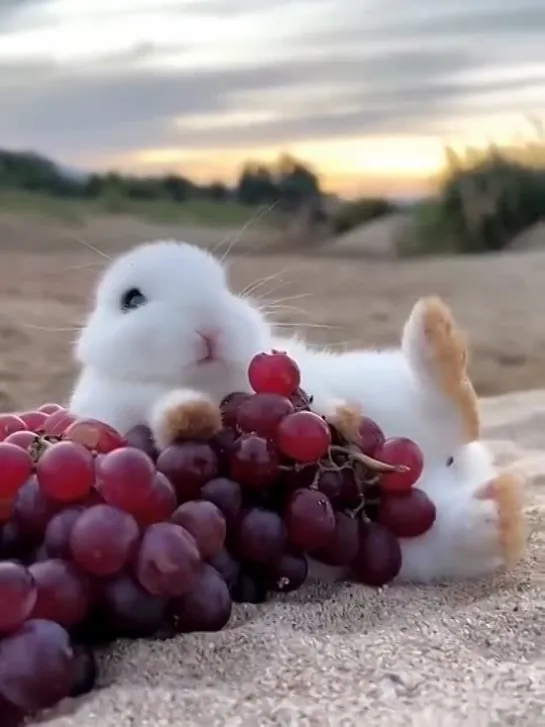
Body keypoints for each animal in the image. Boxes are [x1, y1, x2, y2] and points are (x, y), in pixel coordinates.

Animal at [67, 242, 524, 584]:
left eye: (225, 286)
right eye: (132, 299)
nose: (209, 326)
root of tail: (460, 468)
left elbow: (322, 404)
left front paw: (343, 419)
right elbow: (166, 419)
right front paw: (191, 413)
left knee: (454, 408)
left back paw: (434, 329)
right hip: (418, 540)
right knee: (466, 524)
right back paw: (502, 507)